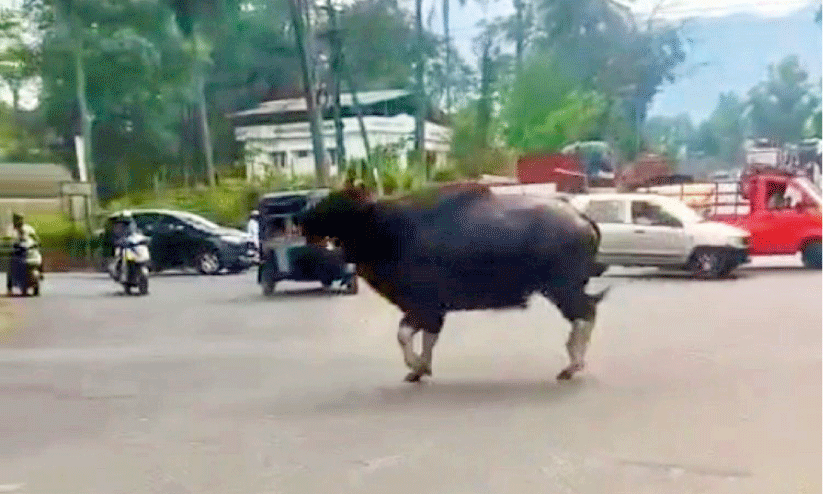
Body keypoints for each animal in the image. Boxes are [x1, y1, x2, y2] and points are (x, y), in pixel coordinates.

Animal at [299, 184, 608, 382]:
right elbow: (428, 338)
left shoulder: (423, 306)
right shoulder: (433, 311)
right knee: (586, 314)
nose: (302, 220)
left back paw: (572, 366)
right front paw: (420, 370)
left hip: (562, 289)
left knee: (586, 315)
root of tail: (581, 218)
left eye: (337, 203)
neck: (388, 227)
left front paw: (416, 365)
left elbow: (404, 335)